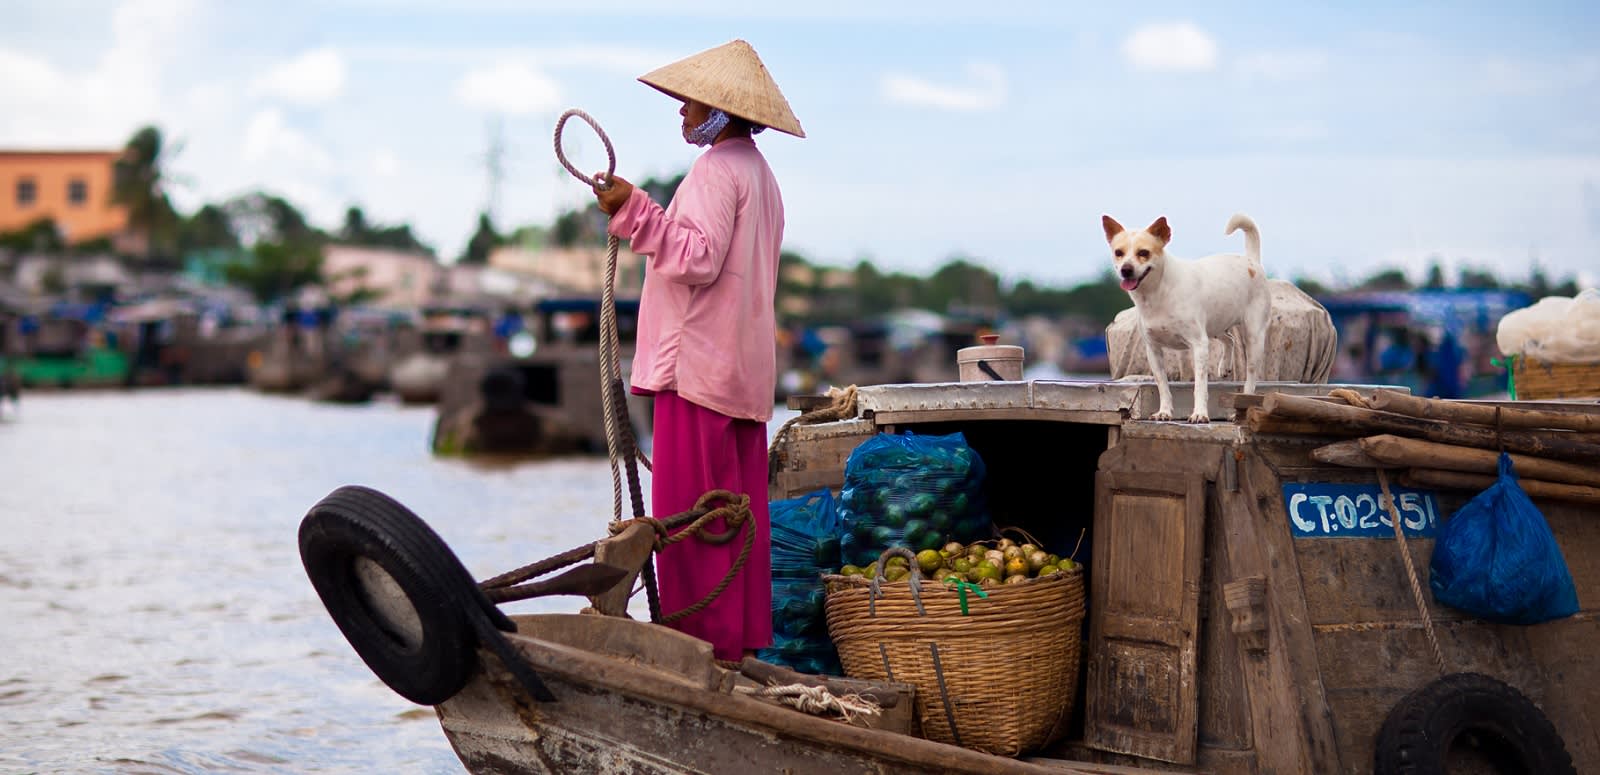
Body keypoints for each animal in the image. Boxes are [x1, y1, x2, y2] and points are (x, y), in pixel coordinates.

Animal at [1094, 211, 1267, 422]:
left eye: (1144, 253)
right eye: (1118, 252)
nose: (1126, 269)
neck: (1156, 294)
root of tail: (1251, 261)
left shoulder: (1199, 345)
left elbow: (1200, 386)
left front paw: (1200, 414)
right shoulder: (1154, 350)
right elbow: (1163, 386)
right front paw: (1164, 412)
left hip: (1253, 337)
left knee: (1251, 374)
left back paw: (1240, 408)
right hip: (1215, 326)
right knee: (1229, 339)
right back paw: (1224, 366)